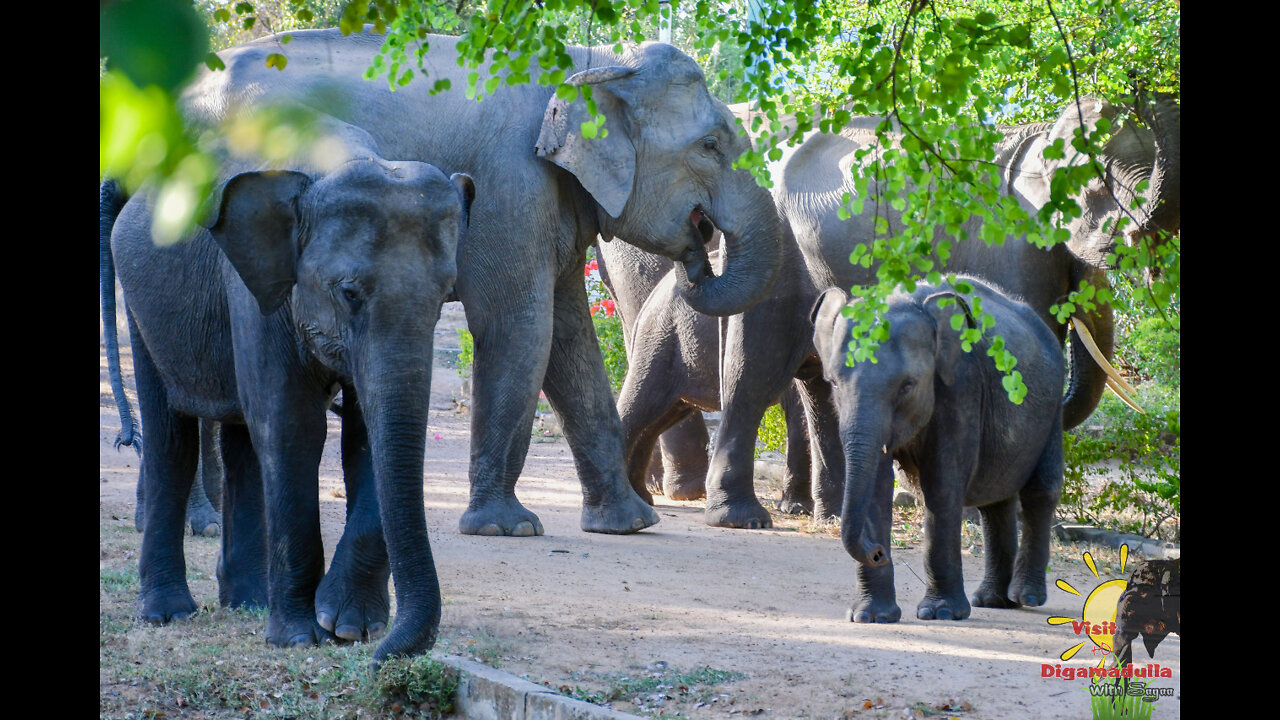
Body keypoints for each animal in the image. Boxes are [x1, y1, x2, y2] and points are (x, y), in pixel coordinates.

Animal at [193, 29, 778, 538]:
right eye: (709, 145)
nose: (697, 257)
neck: (591, 61)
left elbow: (571, 342)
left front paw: (630, 524)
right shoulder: (510, 184)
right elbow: (520, 328)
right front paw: (506, 528)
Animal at [701, 94, 1177, 527]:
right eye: (1098, 186)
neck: (1040, 137)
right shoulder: (1007, 245)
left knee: (821, 385)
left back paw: (835, 515)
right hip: (777, 258)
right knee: (753, 376)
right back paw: (741, 518)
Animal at [808, 278, 1070, 620]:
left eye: (907, 385)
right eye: (835, 383)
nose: (877, 552)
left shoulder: (961, 386)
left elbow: (942, 486)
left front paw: (941, 613)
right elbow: (877, 486)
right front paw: (870, 616)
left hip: (1052, 409)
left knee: (1040, 491)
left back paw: (1025, 596)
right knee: (995, 502)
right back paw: (992, 600)